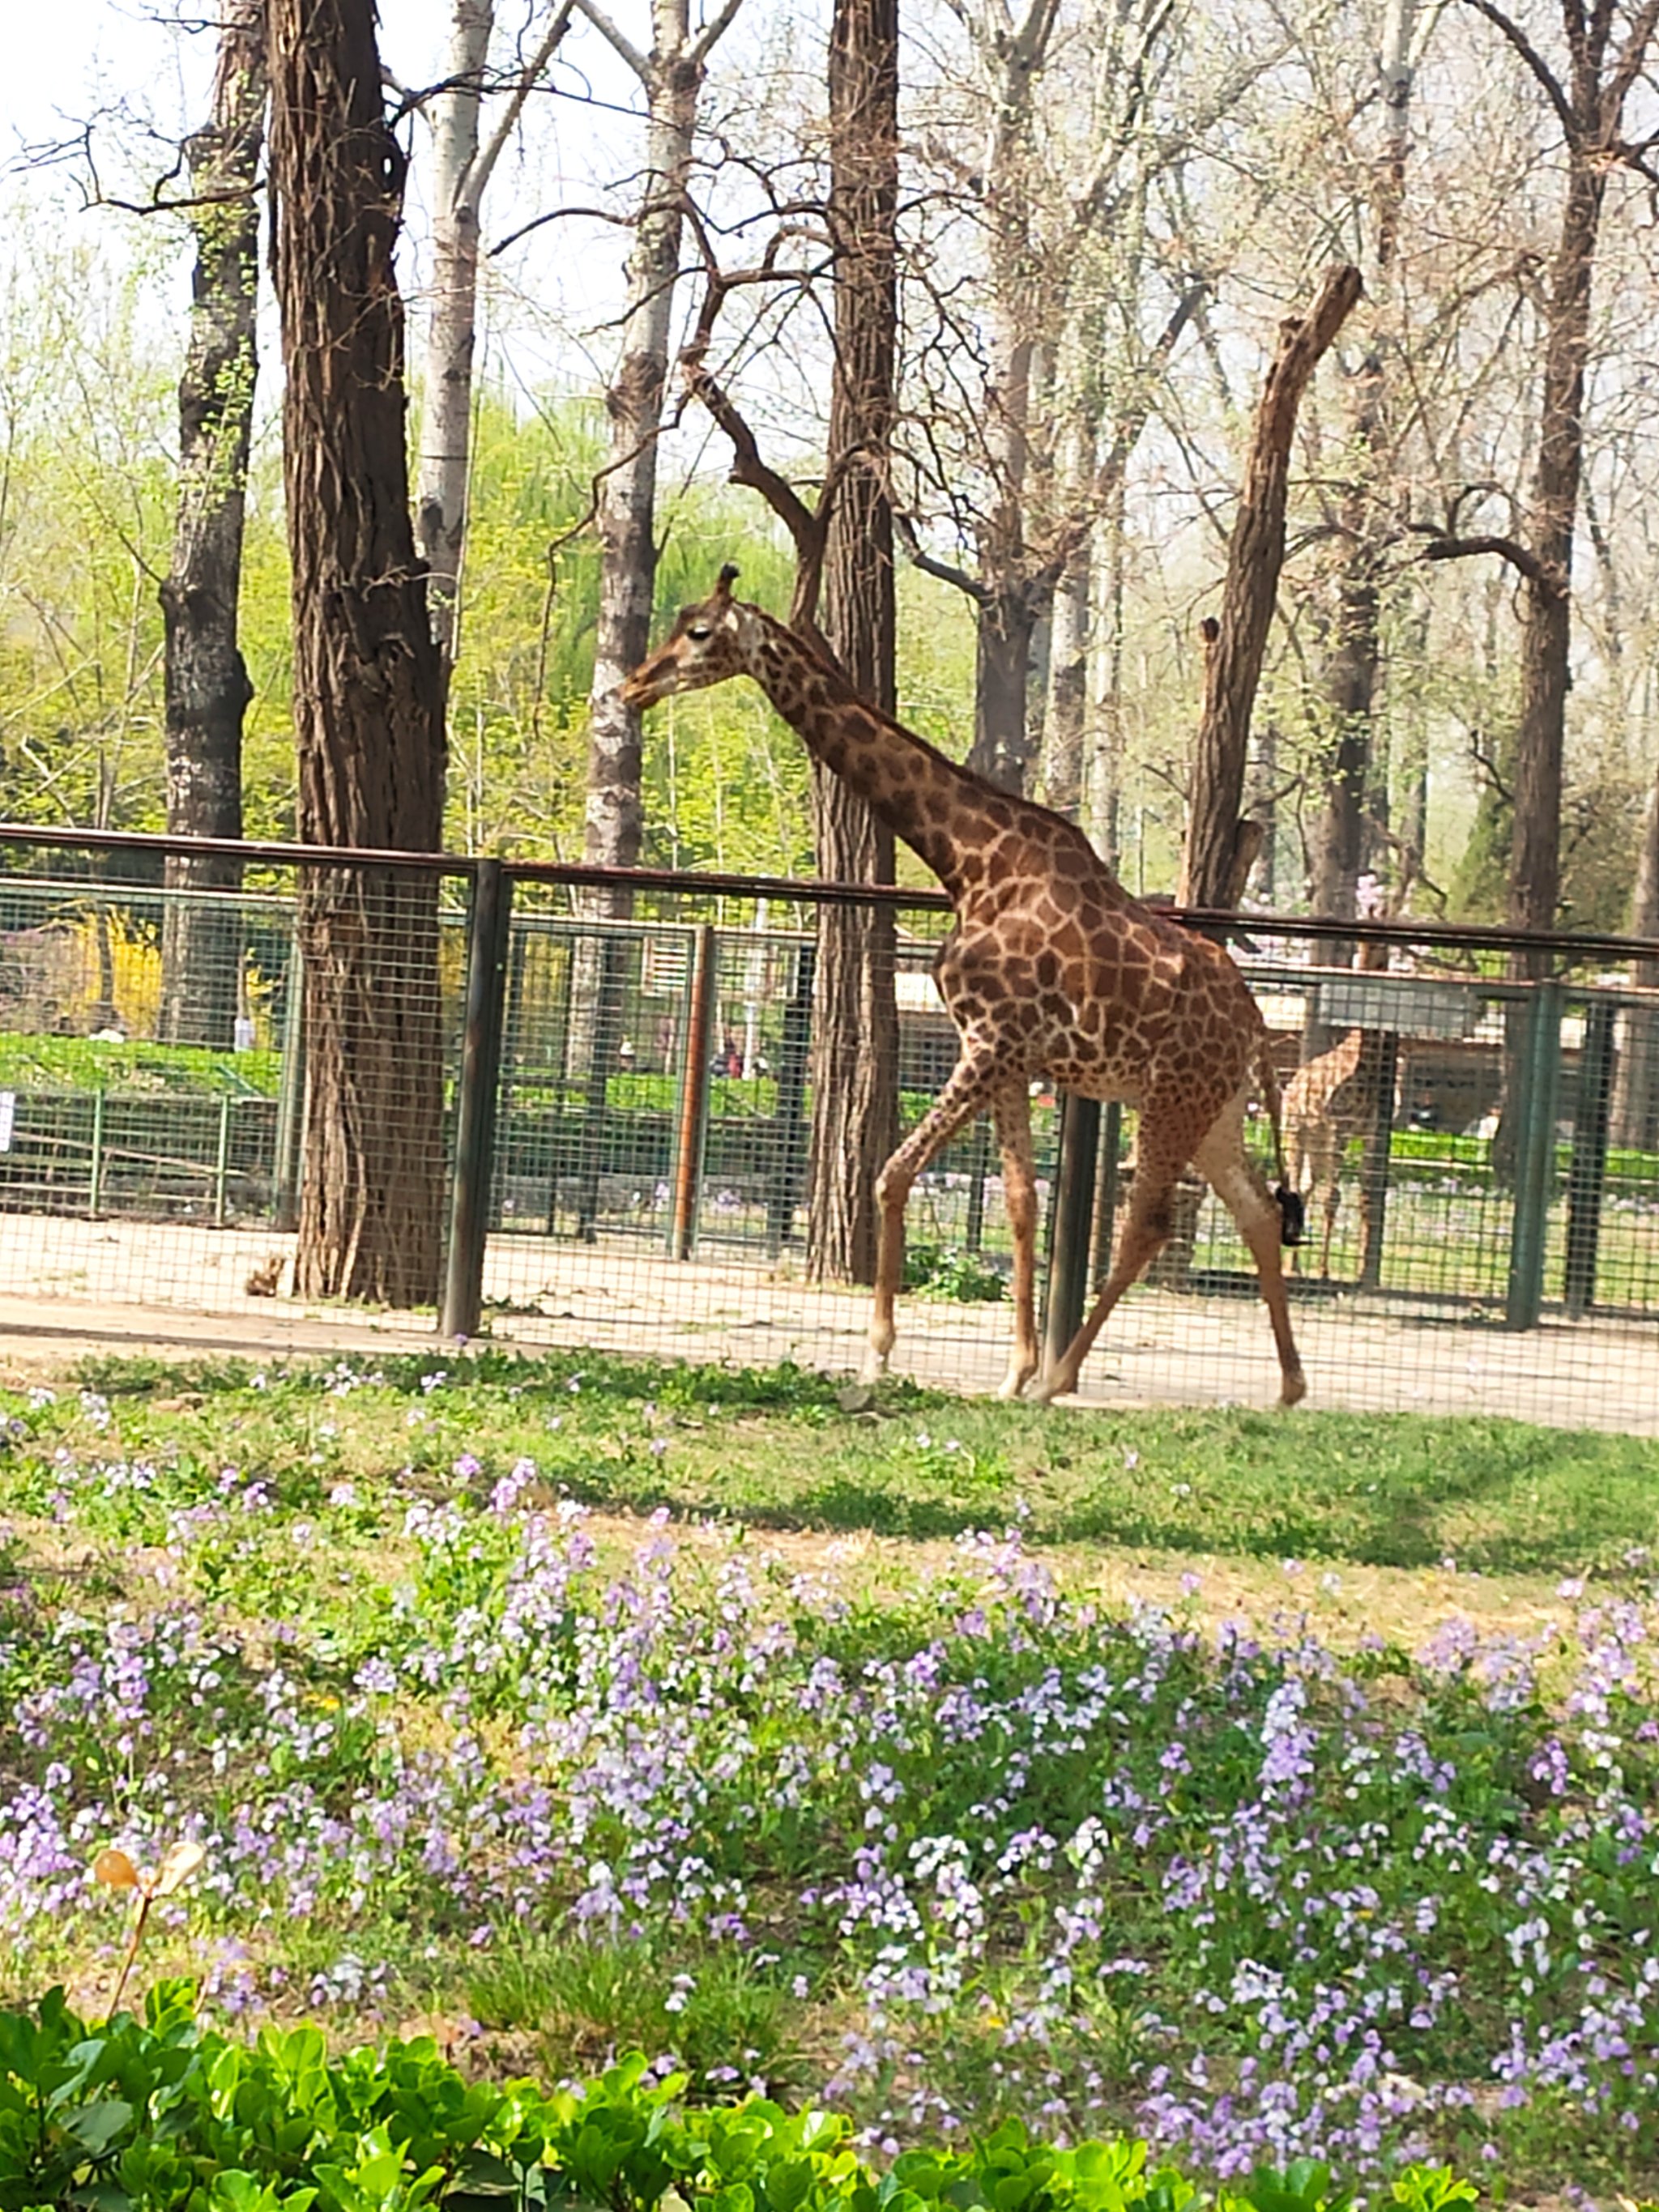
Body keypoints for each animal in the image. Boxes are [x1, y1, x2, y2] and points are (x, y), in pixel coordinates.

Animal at [624, 566, 1309, 1397]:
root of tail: (1256, 1028)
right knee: (1258, 1213)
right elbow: (1020, 1203)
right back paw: (1288, 1388)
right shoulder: (1010, 1059)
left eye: (698, 632)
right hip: (1213, 1110)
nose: (632, 685)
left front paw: (880, 1355)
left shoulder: (987, 1044)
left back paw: (1062, 1379)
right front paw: (1010, 1372)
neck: (970, 863)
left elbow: (891, 1176)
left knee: (1150, 1222)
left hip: (1175, 1097)